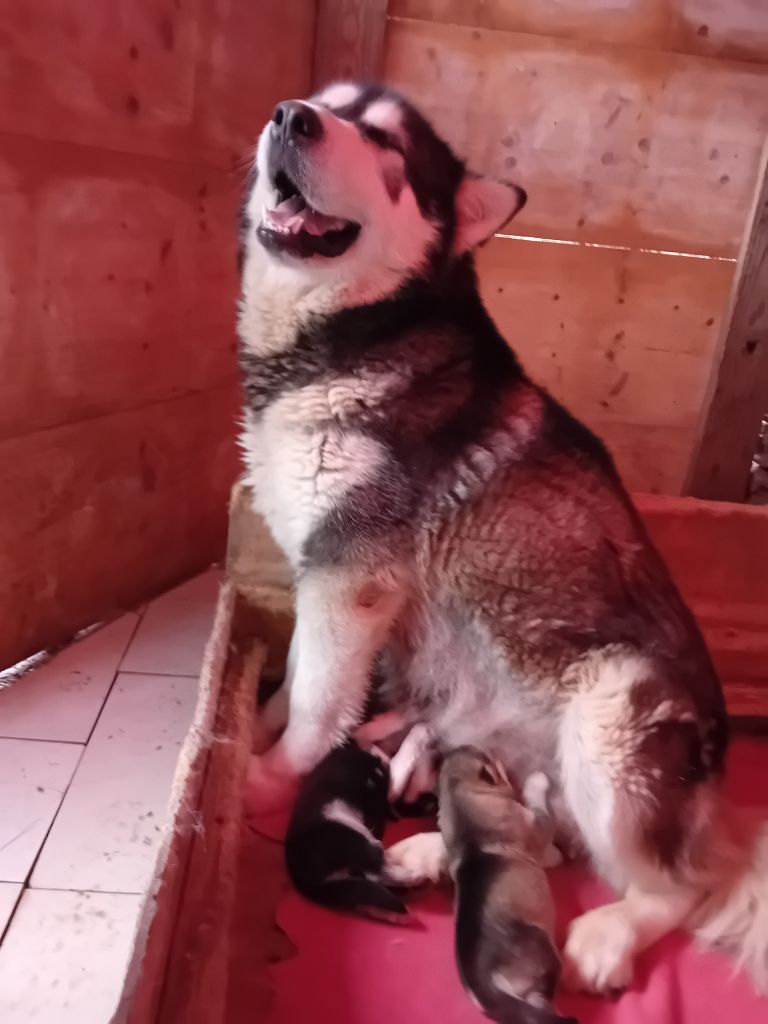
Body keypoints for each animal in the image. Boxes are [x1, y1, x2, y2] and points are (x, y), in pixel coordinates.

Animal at [286, 737, 409, 921]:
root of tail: (303, 881)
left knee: (371, 878)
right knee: (376, 863)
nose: (383, 759)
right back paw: (409, 876)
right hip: (350, 837)